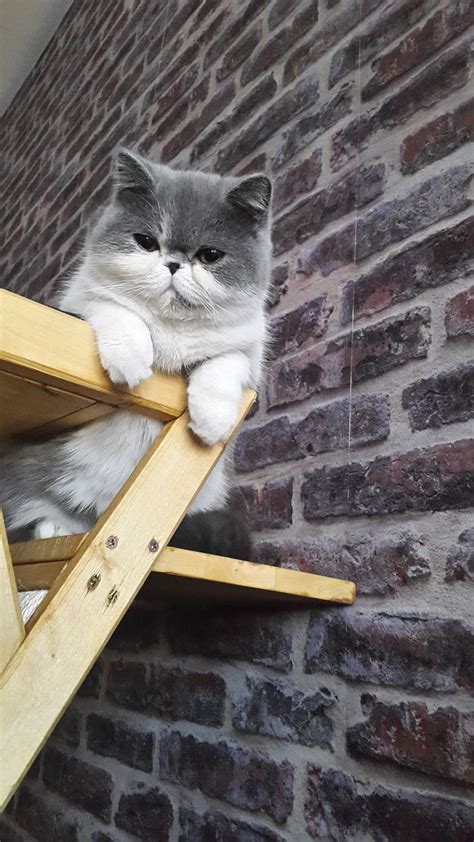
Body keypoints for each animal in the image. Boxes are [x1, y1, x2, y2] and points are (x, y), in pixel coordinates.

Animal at [0, 148, 272, 540]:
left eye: (210, 255)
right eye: (146, 242)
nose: (173, 263)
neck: (172, 328)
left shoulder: (248, 353)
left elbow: (225, 362)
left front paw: (212, 420)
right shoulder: (81, 304)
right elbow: (119, 310)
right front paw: (131, 361)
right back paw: (51, 528)